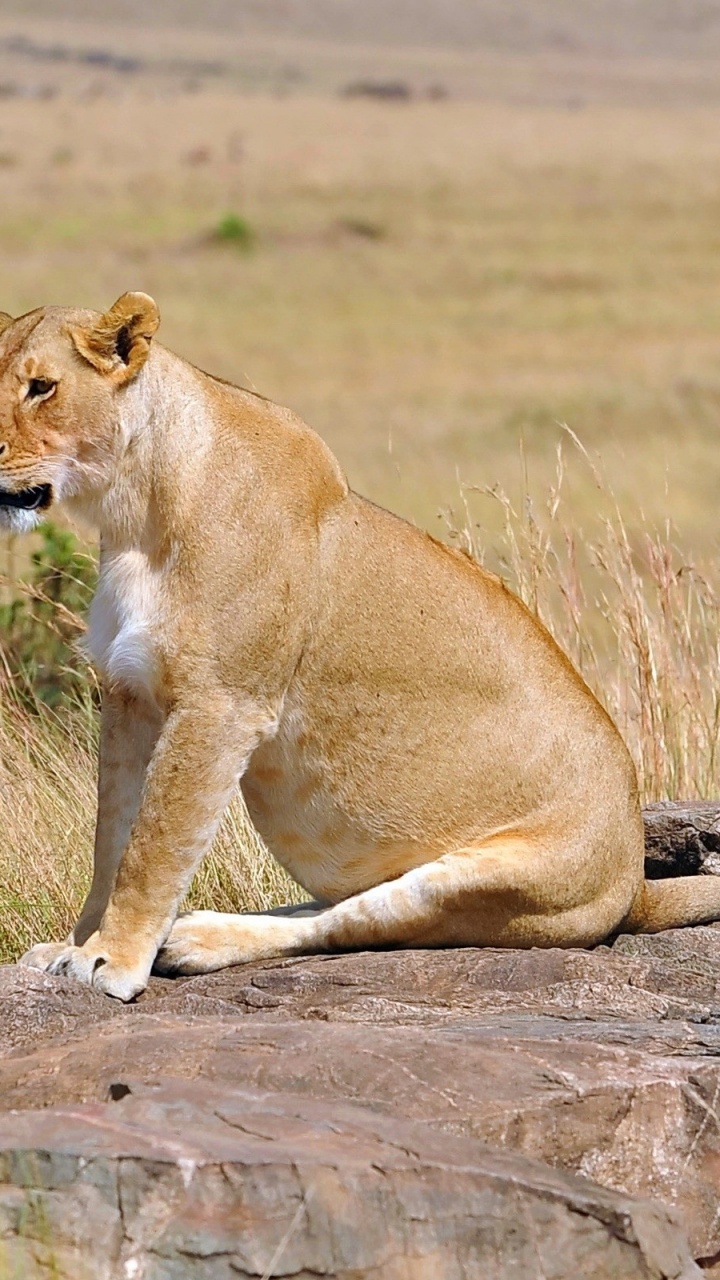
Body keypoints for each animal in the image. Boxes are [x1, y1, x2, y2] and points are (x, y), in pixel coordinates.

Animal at [0, 292, 716, 1001]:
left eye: (42, 387)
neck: (131, 509)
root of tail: (634, 887)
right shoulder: (131, 690)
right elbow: (113, 835)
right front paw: (76, 945)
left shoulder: (221, 703)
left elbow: (154, 845)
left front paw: (111, 960)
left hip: (487, 883)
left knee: (349, 923)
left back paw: (200, 938)